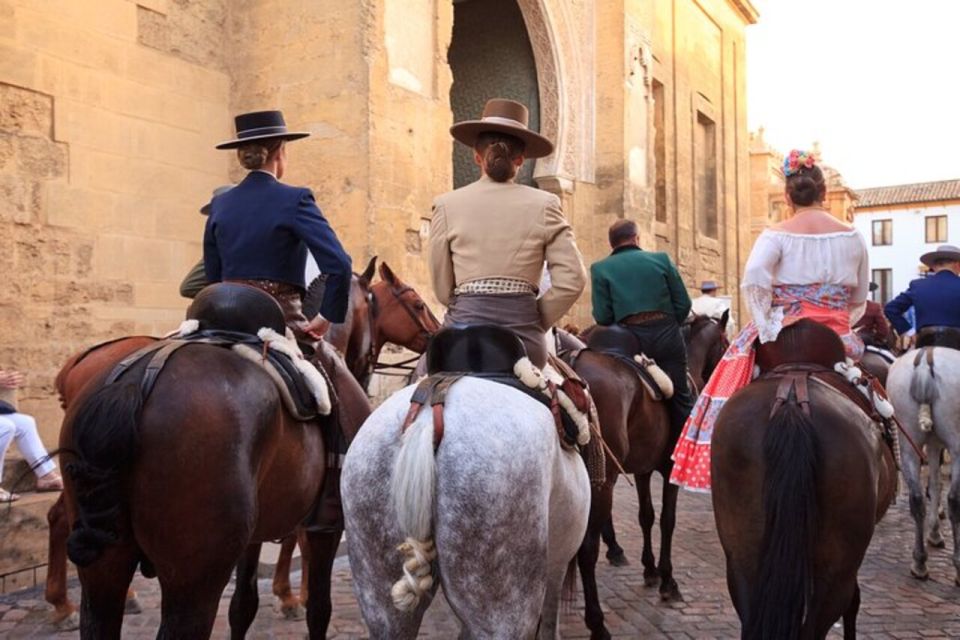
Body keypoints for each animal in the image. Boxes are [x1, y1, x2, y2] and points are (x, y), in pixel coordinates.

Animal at [884, 344, 960, 584]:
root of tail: (926, 361)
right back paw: (958, 564)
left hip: (908, 442)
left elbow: (934, 484)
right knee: (954, 500)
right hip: (956, 445)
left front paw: (934, 532)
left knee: (917, 499)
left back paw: (919, 562)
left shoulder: (934, 443)